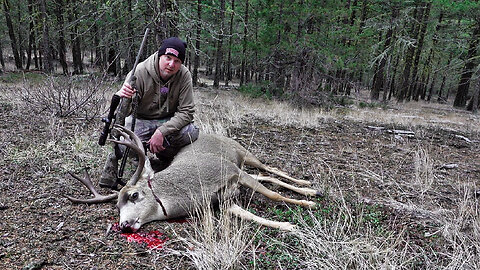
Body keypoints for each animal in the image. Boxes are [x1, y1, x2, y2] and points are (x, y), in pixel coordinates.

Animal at [66, 125, 318, 231]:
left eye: (135, 195)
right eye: (116, 208)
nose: (124, 226)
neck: (195, 189)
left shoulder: (231, 171)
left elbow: (274, 195)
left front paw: (307, 205)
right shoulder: (223, 200)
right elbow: (248, 214)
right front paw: (287, 225)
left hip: (244, 155)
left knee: (270, 169)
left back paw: (309, 188)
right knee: (265, 175)